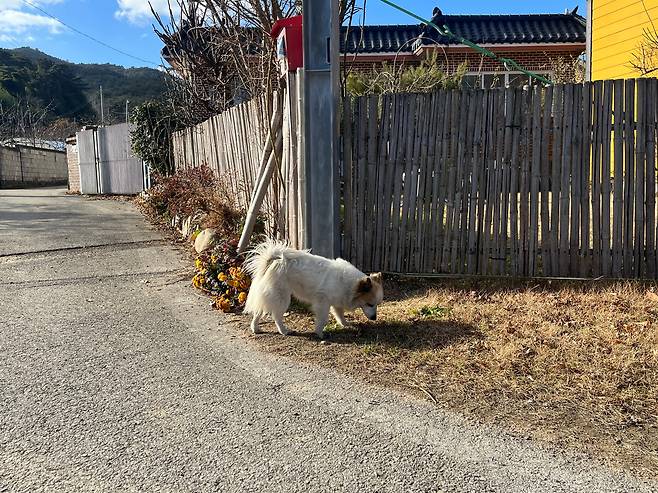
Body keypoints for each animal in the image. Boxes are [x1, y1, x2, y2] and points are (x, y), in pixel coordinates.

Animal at [243, 238, 382, 338]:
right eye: (370, 304)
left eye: (377, 305)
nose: (374, 318)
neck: (350, 284)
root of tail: (276, 261)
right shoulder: (323, 303)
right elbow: (322, 319)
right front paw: (320, 333)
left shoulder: (337, 302)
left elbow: (340, 315)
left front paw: (345, 324)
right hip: (282, 299)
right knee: (276, 316)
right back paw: (284, 331)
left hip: (267, 296)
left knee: (258, 312)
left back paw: (255, 328)